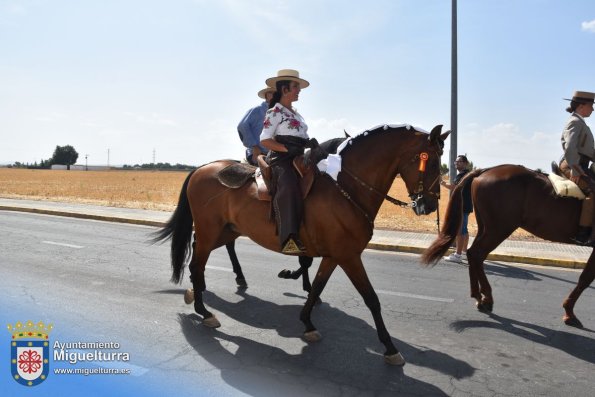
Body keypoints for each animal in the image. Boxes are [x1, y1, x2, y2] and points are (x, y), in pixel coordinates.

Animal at [156, 124, 450, 366]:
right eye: (432, 161)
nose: (429, 205)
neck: (345, 187)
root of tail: (201, 168)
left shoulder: (334, 255)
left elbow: (317, 284)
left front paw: (308, 322)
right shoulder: (349, 256)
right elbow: (371, 298)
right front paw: (390, 347)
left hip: (224, 232)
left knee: (198, 258)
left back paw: (197, 292)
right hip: (211, 231)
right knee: (197, 263)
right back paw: (204, 311)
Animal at [422, 164, 592, 328]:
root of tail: (485, 171)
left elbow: (586, 278)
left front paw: (569, 311)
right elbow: (585, 279)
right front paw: (569, 313)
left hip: (486, 227)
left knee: (473, 253)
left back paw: (479, 296)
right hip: (499, 228)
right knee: (477, 254)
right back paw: (486, 298)